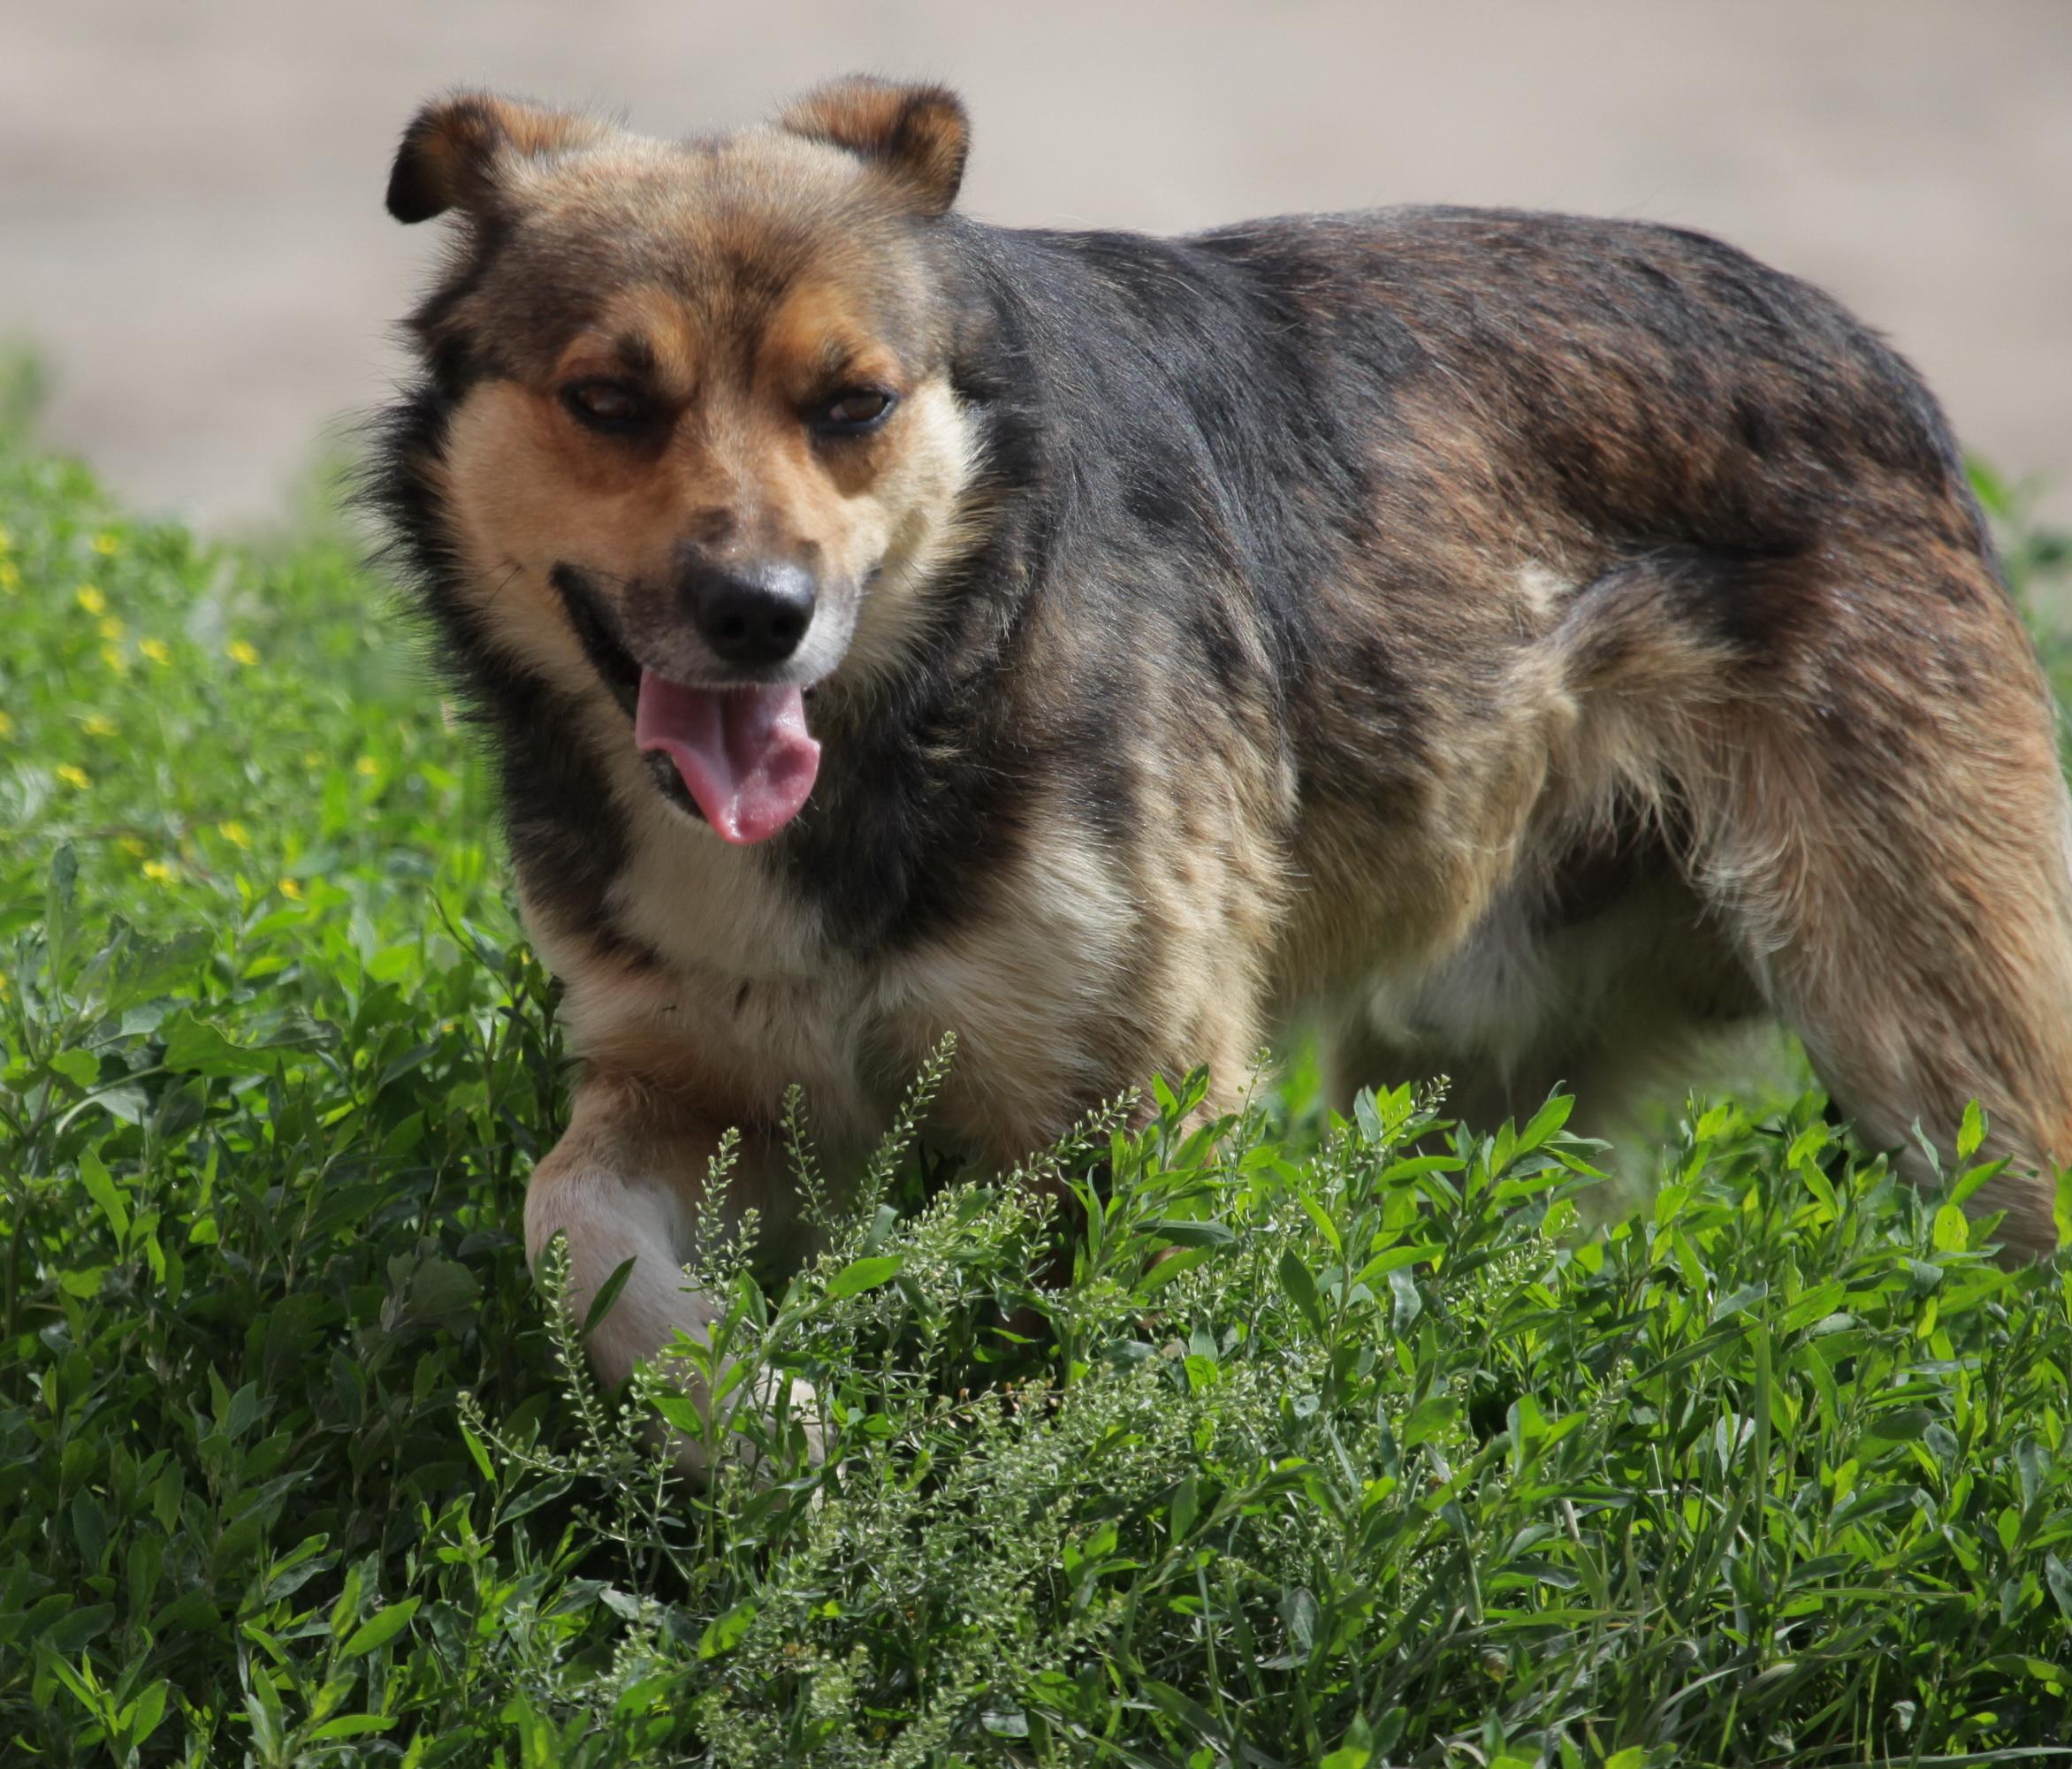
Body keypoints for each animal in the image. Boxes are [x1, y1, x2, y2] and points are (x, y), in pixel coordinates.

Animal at [372, 76, 2072, 1466]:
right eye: (609, 402)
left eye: (852, 406)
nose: (760, 613)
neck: (928, 691)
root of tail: (1866, 349)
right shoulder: (702, 1086)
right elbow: (563, 1225)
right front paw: (752, 1419)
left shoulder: (1140, 1099)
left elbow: (1107, 1381)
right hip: (1462, 1061)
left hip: (1945, 1067)